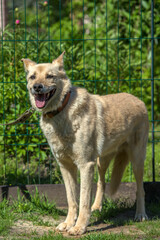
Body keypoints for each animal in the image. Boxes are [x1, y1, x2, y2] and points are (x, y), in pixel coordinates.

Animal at [21, 51, 149, 235]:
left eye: (50, 76)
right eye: (32, 77)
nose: (37, 87)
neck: (61, 111)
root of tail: (138, 100)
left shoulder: (85, 165)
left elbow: (82, 200)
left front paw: (79, 227)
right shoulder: (66, 166)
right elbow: (72, 200)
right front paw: (68, 223)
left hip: (137, 161)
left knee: (140, 189)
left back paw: (140, 214)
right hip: (102, 161)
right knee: (102, 182)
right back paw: (97, 207)